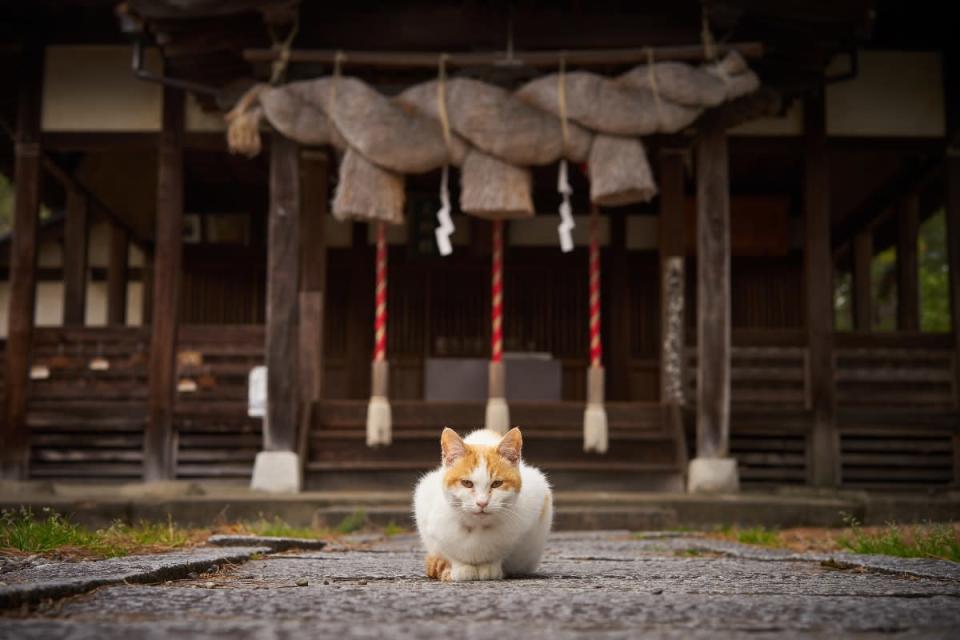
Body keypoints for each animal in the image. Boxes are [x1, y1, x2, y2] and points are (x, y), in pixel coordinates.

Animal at [414, 428, 556, 584]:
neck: (478, 528)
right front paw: (461, 568)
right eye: (467, 483)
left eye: (497, 484)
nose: (482, 502)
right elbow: (451, 552)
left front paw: (489, 567)